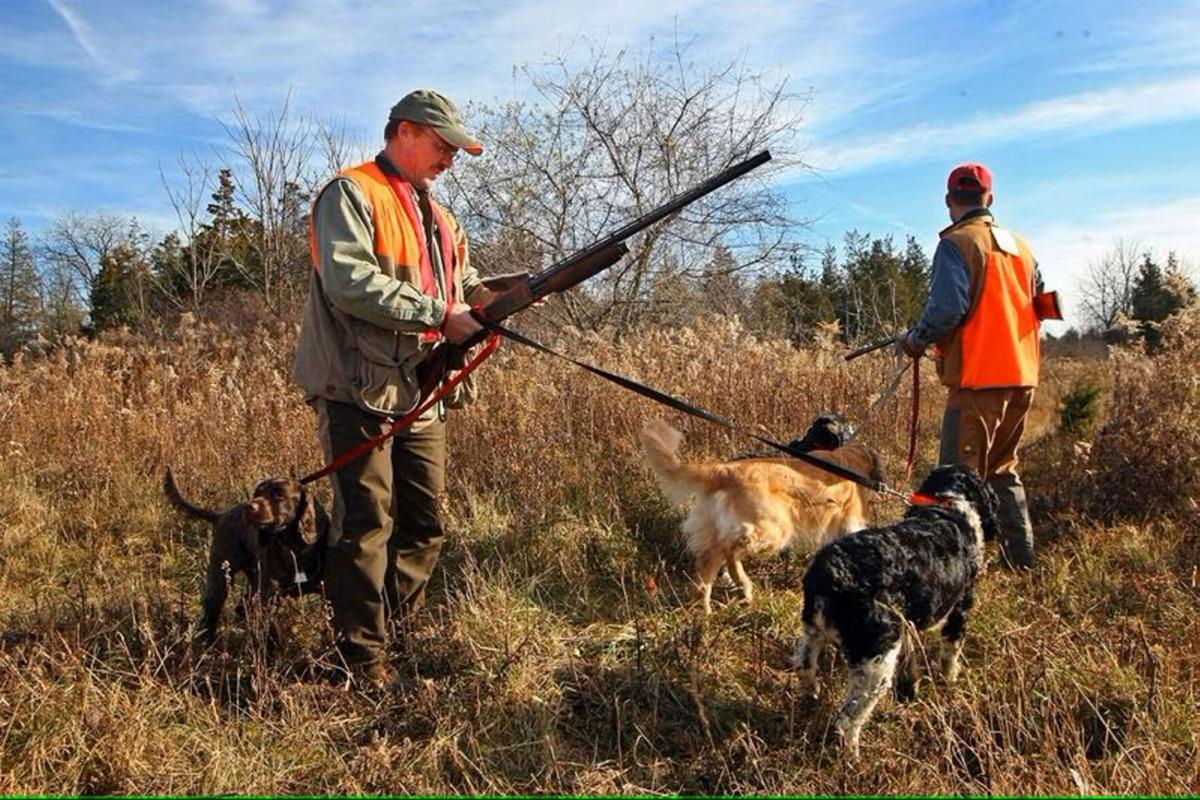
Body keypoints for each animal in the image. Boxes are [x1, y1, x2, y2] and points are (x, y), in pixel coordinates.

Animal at [163, 465, 328, 642]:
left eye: (279, 495)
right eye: (257, 494)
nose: (248, 507)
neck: (294, 549)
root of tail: (221, 515)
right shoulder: (268, 597)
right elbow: (272, 630)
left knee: (242, 606)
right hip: (220, 577)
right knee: (212, 612)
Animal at [638, 419, 883, 614]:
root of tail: (724, 470)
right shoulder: (851, 521)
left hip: (716, 529)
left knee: (711, 562)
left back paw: (710, 605)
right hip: (775, 529)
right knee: (727, 549)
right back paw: (736, 585)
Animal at [792, 462, 998, 758]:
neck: (948, 504)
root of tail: (830, 574)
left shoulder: (908, 625)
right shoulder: (959, 609)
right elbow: (951, 653)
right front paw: (949, 680)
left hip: (815, 632)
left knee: (804, 667)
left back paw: (813, 695)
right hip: (876, 659)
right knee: (847, 720)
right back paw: (852, 757)